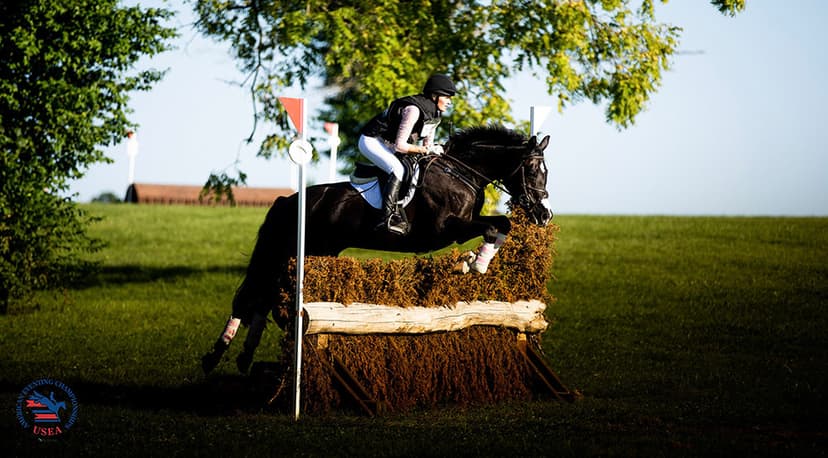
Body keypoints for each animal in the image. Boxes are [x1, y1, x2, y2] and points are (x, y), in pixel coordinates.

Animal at [202, 125, 552, 374]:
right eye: (534, 170)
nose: (544, 215)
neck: (461, 173)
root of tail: (289, 200)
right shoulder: (445, 229)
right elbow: (494, 227)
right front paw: (473, 263)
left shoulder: (464, 224)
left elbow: (502, 225)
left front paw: (475, 261)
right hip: (290, 250)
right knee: (253, 296)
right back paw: (214, 357)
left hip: (314, 252)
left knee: (263, 297)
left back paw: (243, 357)